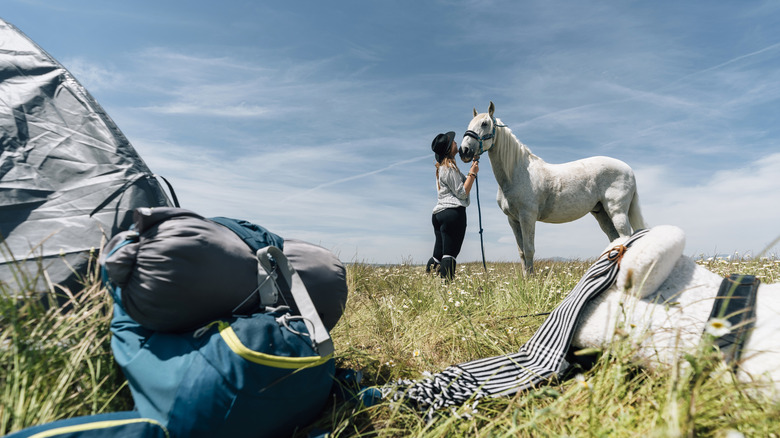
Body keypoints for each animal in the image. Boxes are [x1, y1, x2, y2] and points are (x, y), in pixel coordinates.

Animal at [460, 103, 648, 274]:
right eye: (470, 123)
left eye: (484, 123)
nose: (464, 151)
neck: (516, 173)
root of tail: (629, 170)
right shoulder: (513, 219)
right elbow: (521, 252)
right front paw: (525, 279)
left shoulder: (527, 217)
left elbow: (529, 250)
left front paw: (531, 282)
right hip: (602, 213)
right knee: (615, 240)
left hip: (617, 212)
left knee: (625, 238)